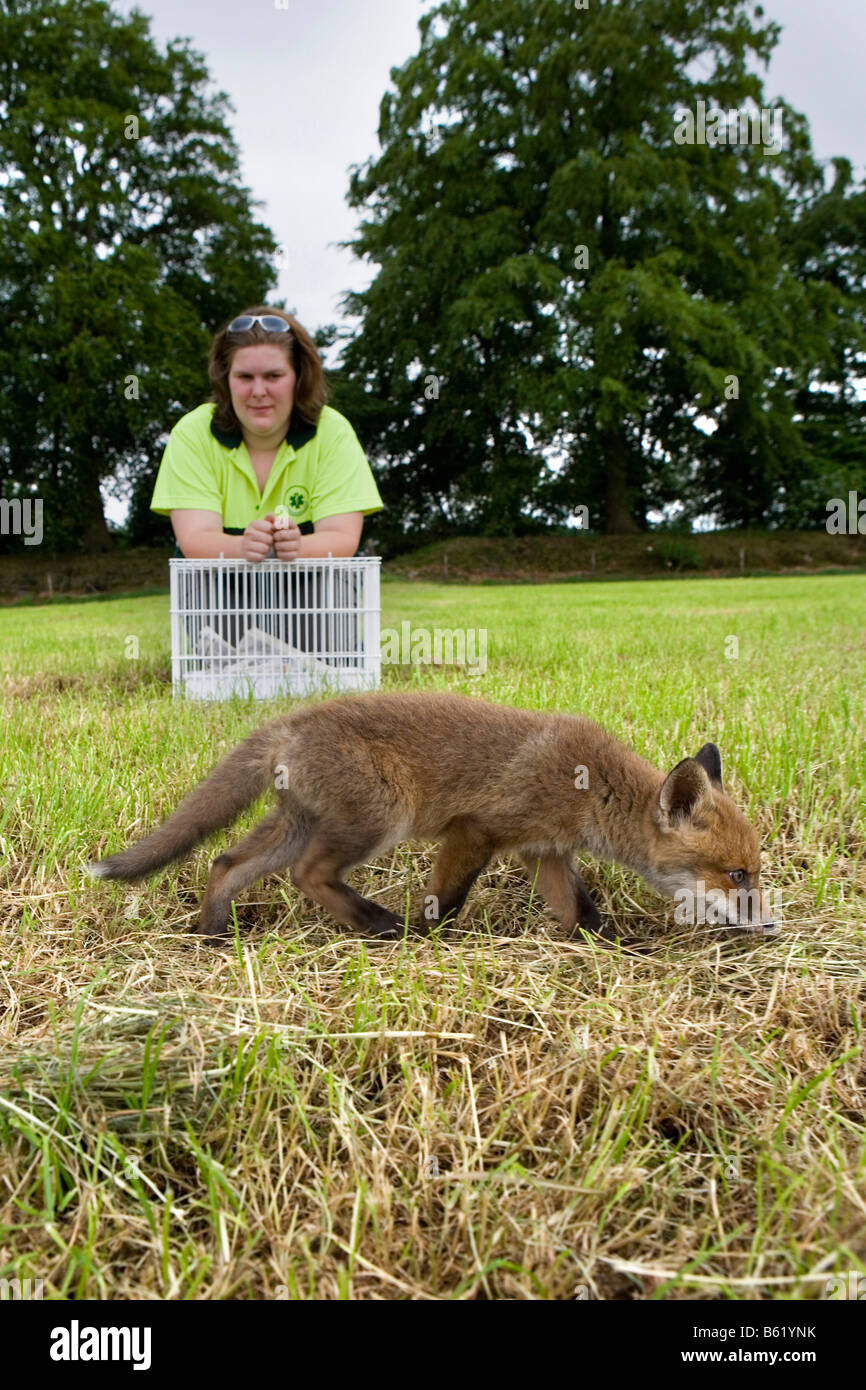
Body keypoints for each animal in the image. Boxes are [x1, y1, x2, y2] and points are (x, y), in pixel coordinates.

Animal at [87, 691, 777, 942]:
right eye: (737, 875)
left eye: (754, 872)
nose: (770, 926)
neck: (589, 786)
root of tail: (289, 721)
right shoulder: (477, 830)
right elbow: (445, 899)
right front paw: (427, 939)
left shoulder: (545, 851)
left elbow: (581, 912)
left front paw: (611, 945)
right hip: (379, 817)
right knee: (307, 875)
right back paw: (377, 924)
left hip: (298, 825)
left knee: (224, 862)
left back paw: (213, 933)